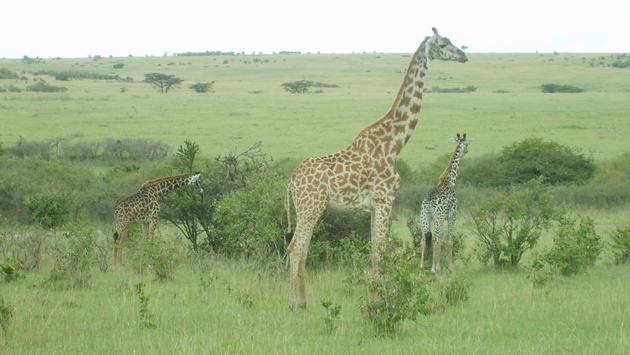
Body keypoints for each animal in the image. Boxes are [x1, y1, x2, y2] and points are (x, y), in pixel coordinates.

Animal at [420, 134, 474, 276]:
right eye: (466, 144)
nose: (467, 151)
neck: (450, 182)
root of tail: (428, 203)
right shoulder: (452, 215)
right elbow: (449, 240)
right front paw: (450, 269)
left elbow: (438, 240)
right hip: (438, 218)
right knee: (437, 239)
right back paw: (435, 270)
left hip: (425, 217)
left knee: (425, 239)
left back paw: (422, 269)